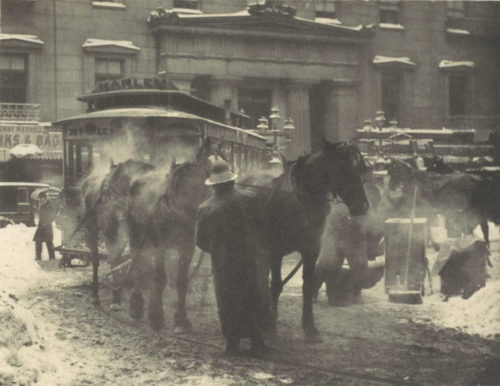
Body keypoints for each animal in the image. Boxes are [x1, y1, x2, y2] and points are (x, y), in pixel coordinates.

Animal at [125, 140, 217, 330]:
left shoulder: (186, 248)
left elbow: (181, 282)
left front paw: (181, 320)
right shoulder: (160, 246)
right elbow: (160, 279)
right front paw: (157, 317)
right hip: (136, 234)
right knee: (137, 264)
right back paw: (136, 306)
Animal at [240, 140, 370, 340]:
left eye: (360, 169)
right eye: (344, 168)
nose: (362, 206)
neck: (300, 200)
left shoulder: (311, 250)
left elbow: (307, 285)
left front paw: (310, 328)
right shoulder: (276, 251)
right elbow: (276, 285)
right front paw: (271, 325)